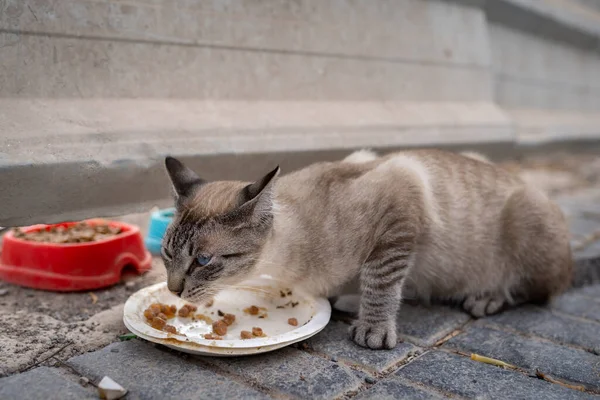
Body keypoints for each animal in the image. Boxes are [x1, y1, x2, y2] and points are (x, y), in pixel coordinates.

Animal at [161, 150, 596, 350]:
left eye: (203, 261)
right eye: (166, 254)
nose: (172, 290)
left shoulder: (400, 209)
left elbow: (381, 283)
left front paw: (372, 329)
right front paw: (345, 300)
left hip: (526, 216)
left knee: (536, 290)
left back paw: (486, 297)